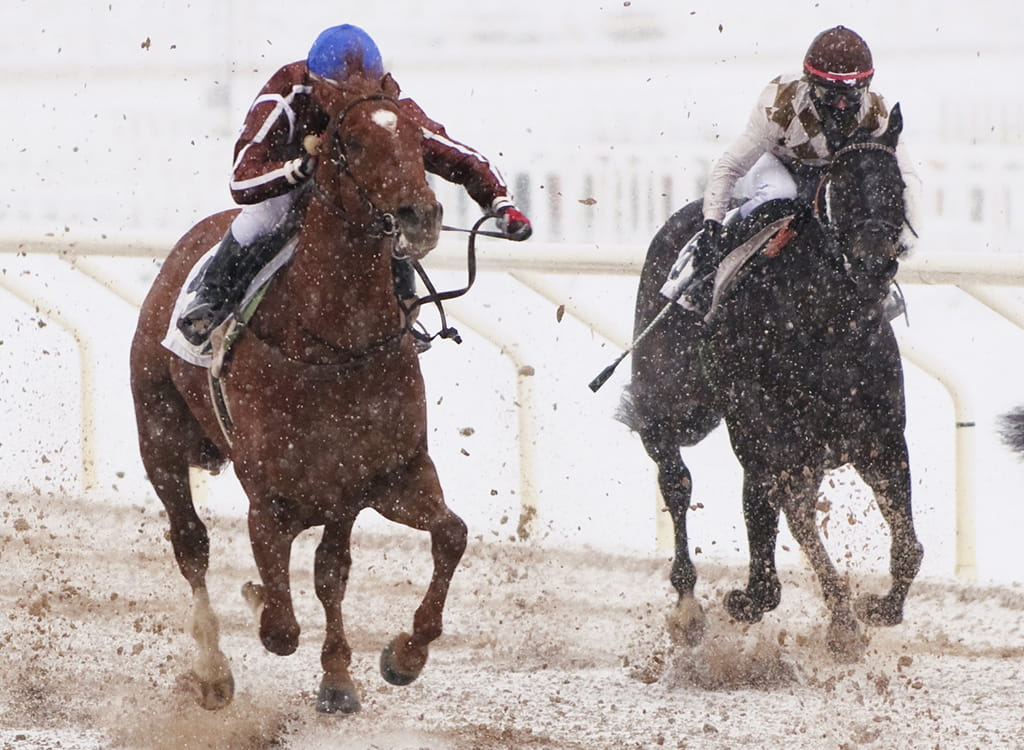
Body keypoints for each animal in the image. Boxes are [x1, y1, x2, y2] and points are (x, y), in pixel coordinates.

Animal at [130, 77, 466, 713]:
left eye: (418, 136)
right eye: (351, 142)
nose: (422, 215)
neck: (333, 343)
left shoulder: (386, 475)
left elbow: (445, 537)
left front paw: (399, 656)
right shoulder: (270, 497)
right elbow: (280, 627)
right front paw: (259, 598)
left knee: (331, 568)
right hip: (159, 436)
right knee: (191, 545)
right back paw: (212, 670)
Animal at [614, 103, 929, 655]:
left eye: (896, 185)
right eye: (843, 186)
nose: (874, 265)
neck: (823, 327)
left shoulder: (881, 439)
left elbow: (909, 547)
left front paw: (875, 609)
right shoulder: (770, 445)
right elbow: (777, 551)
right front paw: (762, 603)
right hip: (668, 398)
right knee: (675, 476)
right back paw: (688, 605)